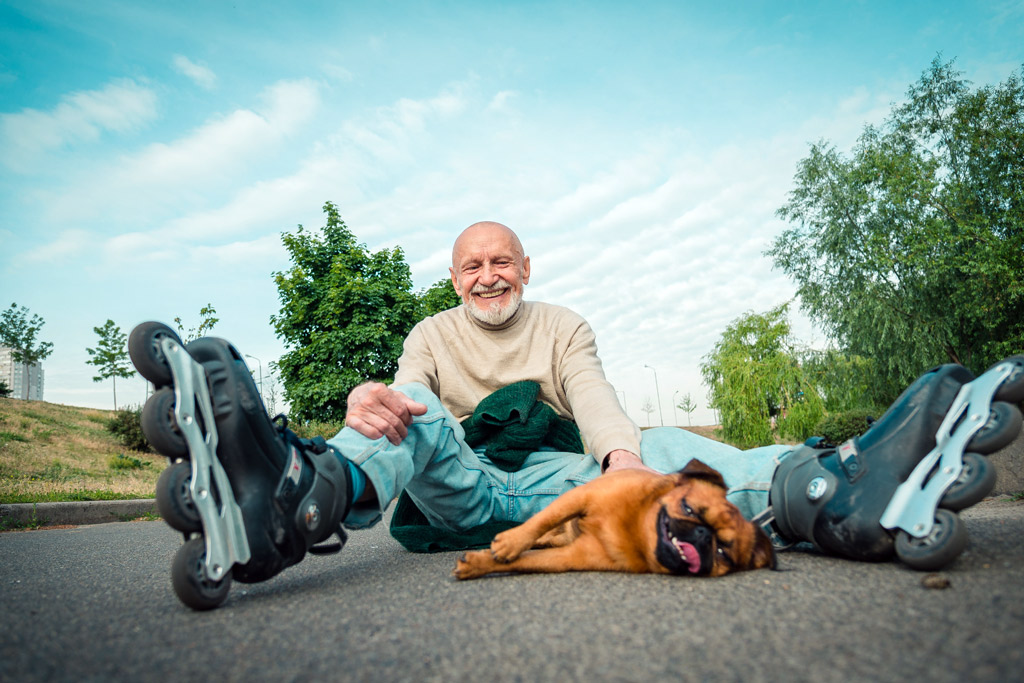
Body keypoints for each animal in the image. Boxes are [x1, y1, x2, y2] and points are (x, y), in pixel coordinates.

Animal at [452, 456, 770, 581]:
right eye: (688, 509)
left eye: (722, 552)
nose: (703, 534)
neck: (633, 526)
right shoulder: (578, 497)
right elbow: (541, 521)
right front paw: (511, 543)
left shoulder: (569, 557)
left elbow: (523, 561)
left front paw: (480, 563)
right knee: (546, 529)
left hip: (563, 542)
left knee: (552, 540)